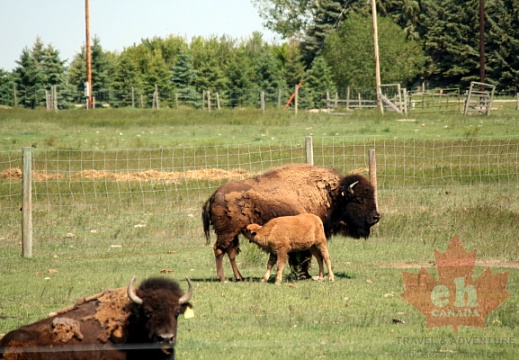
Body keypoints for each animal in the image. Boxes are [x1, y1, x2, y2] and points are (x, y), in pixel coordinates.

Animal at [201, 163, 380, 282]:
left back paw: (239, 277)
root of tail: (214, 194)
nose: (376, 217)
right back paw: (223, 278)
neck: (331, 196)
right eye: (358, 199)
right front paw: (303, 275)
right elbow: (303, 256)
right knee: (219, 250)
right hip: (227, 232)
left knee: (230, 252)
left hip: (233, 233)